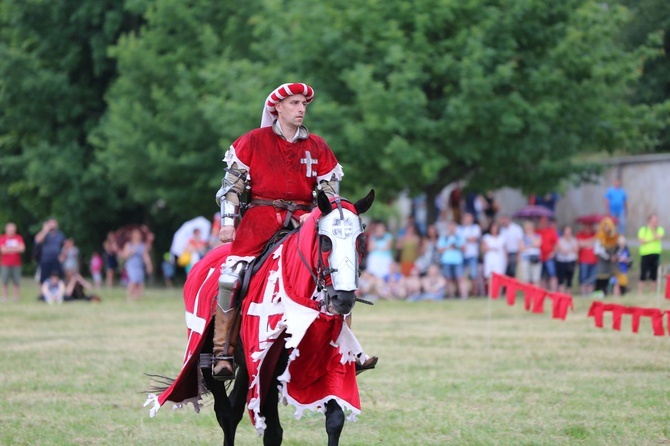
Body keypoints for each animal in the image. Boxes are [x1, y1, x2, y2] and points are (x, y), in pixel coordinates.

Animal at [146, 190, 376, 444]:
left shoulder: (323, 367)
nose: (342, 299)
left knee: (233, 411)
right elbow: (273, 432)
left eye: (360, 241)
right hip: (211, 355)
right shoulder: (266, 367)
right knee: (226, 412)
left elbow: (335, 419)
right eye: (326, 241)